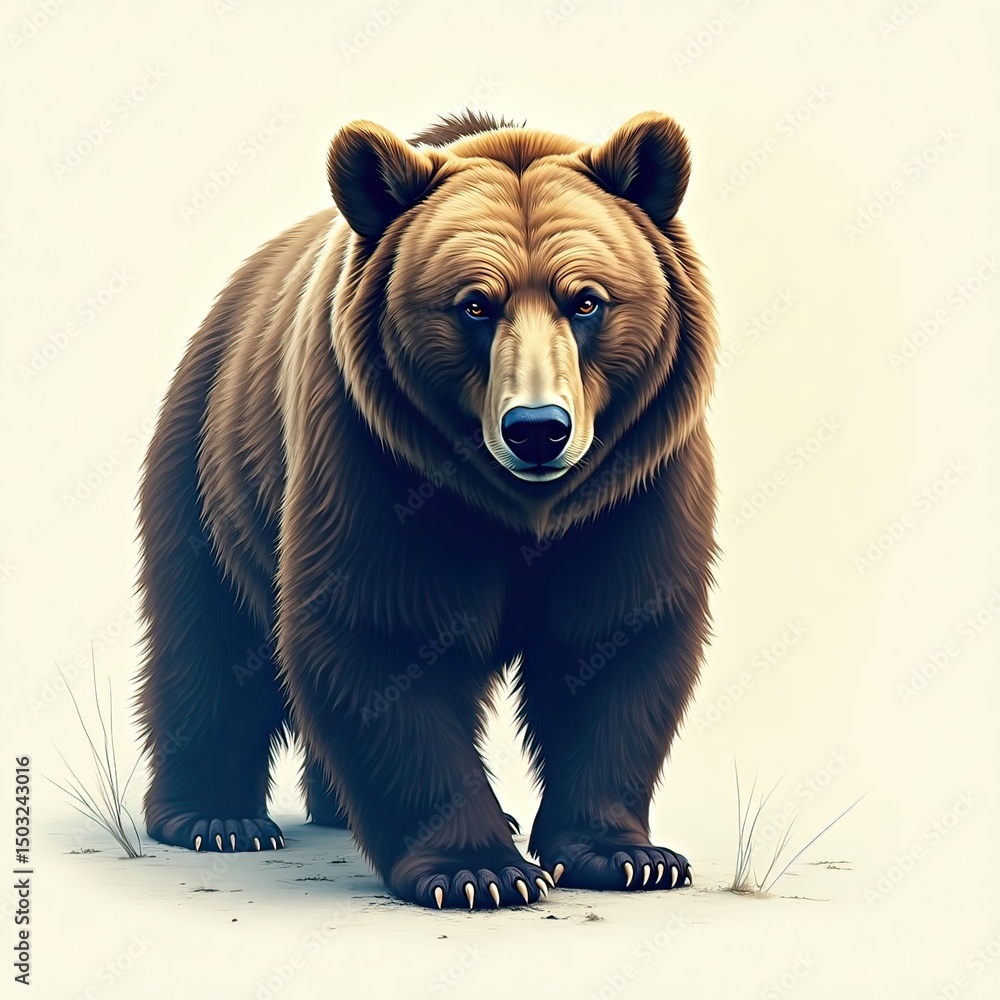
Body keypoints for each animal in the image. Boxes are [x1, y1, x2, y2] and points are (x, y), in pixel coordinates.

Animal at [135, 109, 717, 910]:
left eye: (586, 299)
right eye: (475, 303)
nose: (538, 429)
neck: (522, 508)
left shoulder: (634, 482)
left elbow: (617, 635)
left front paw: (627, 856)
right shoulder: (375, 458)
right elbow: (383, 631)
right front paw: (480, 870)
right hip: (210, 464)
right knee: (210, 635)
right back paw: (215, 819)